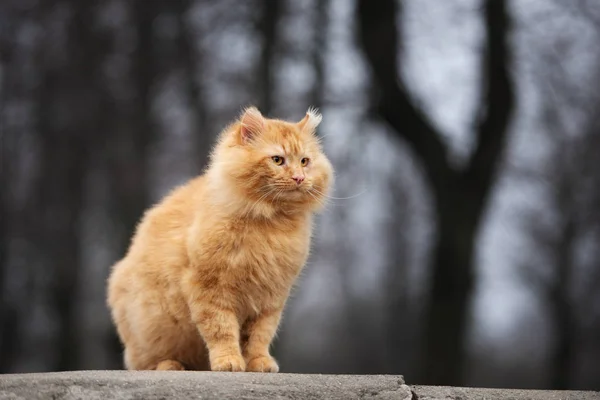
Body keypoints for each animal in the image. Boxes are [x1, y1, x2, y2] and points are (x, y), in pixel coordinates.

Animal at [106, 105, 336, 372]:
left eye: (304, 161)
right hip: (154, 329)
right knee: (146, 363)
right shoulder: (210, 289)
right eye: (278, 160)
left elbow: (259, 337)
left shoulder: (270, 299)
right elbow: (221, 330)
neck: (269, 222)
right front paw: (228, 362)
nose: (299, 177)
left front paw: (259, 363)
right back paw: (171, 366)